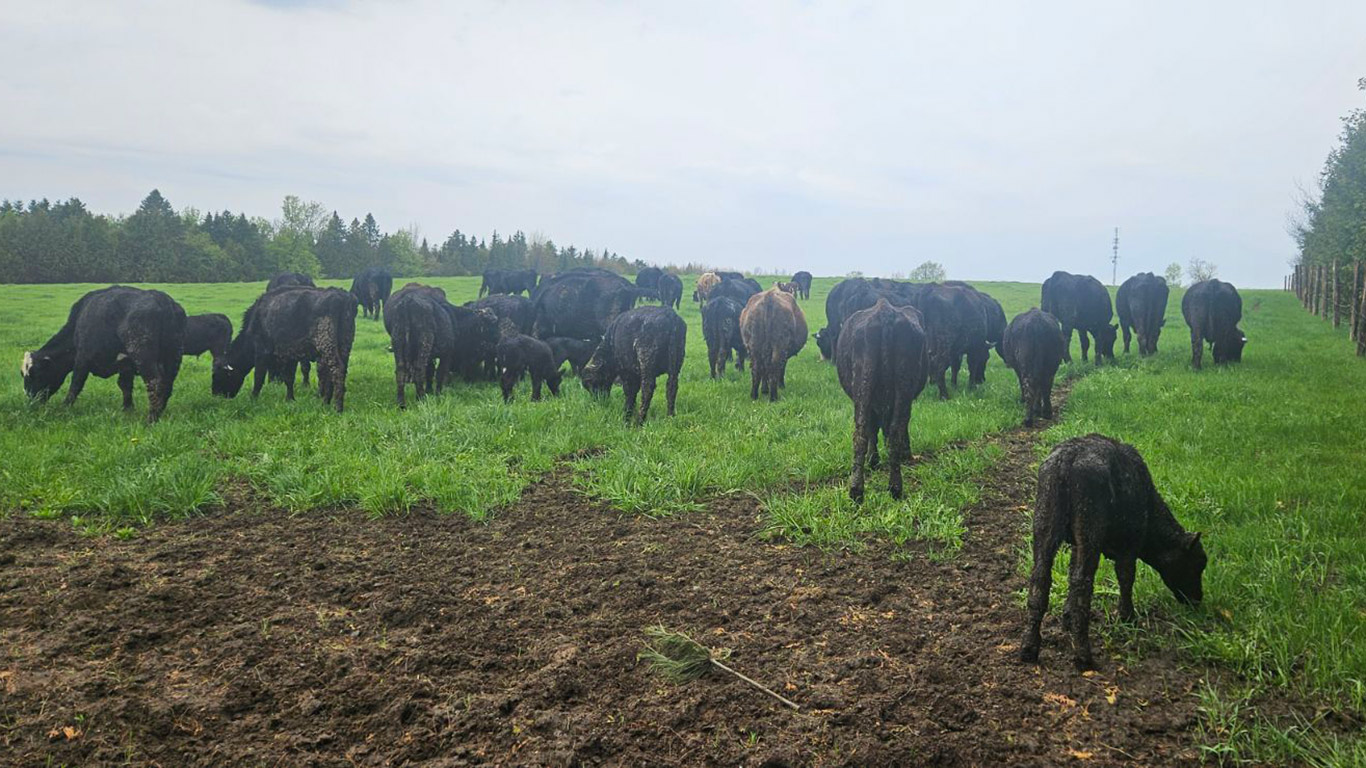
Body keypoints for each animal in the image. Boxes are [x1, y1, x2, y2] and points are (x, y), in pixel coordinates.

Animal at [23, 284, 187, 420]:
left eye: (34, 374)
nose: (31, 398)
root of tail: (161, 298)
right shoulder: (126, 364)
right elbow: (125, 385)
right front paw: (127, 409)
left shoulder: (82, 357)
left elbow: (76, 383)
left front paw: (65, 407)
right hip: (174, 355)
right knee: (167, 384)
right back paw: (160, 412)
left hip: (143, 355)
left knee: (155, 383)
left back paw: (151, 419)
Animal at [213, 284, 357, 409]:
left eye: (218, 374)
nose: (215, 394)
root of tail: (343, 296)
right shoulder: (290, 355)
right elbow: (289, 378)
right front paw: (290, 399)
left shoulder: (261, 352)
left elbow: (259, 377)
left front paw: (253, 398)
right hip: (344, 346)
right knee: (336, 371)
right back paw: (325, 402)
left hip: (326, 344)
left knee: (336, 370)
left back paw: (337, 407)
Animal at [830, 296, 928, 500]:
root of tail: (885, 312)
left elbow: (872, 430)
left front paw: (874, 460)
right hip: (900, 387)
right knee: (893, 431)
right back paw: (890, 487)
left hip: (865, 386)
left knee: (863, 433)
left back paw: (861, 489)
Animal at [1027, 434, 1207, 666]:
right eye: (1197, 564)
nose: (1197, 599)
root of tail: (1068, 458)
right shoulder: (1129, 545)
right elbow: (1126, 578)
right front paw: (1128, 617)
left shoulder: (1076, 545)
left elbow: (1070, 574)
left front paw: (1067, 618)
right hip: (1090, 528)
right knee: (1083, 582)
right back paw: (1083, 654)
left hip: (1046, 520)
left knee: (1040, 577)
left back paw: (1028, 648)